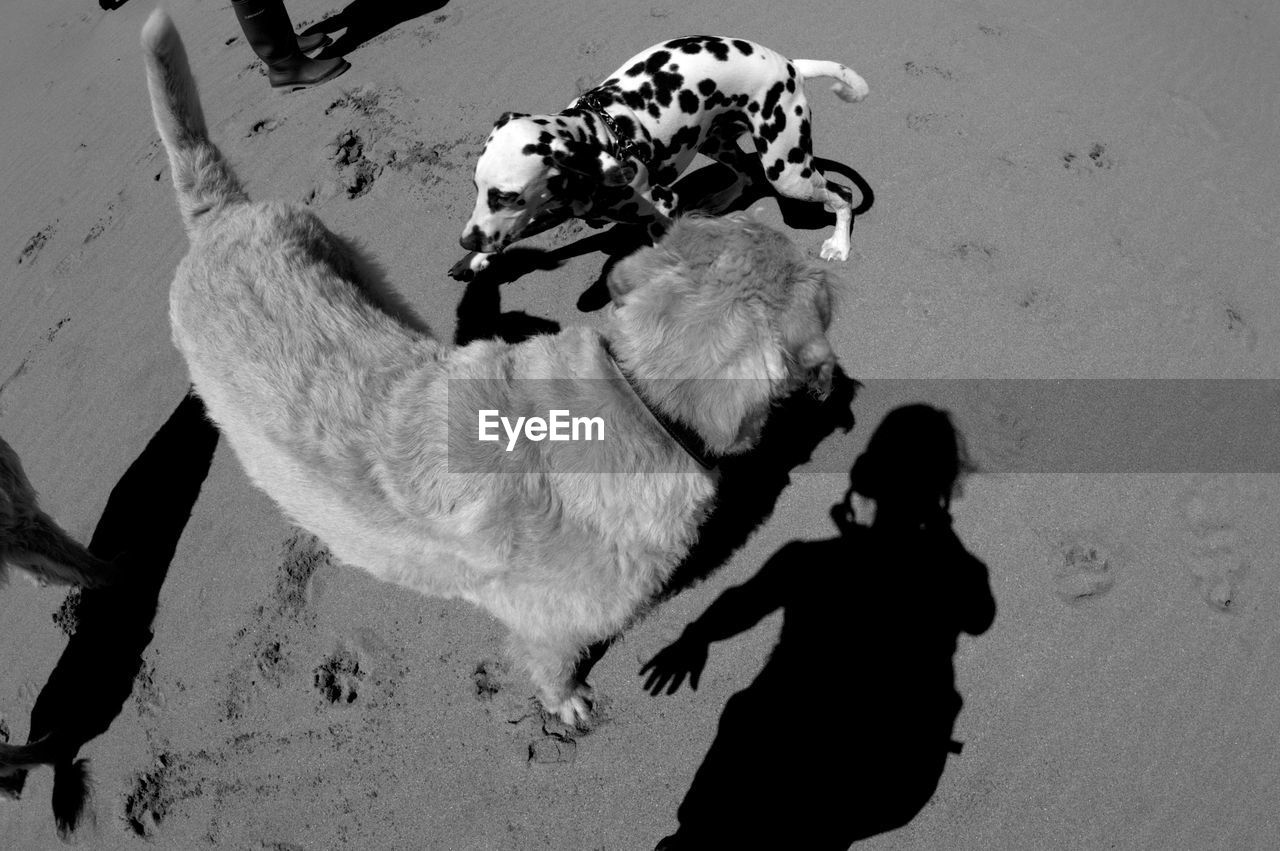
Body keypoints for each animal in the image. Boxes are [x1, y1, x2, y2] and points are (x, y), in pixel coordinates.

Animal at [453, 34, 870, 278]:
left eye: (507, 196)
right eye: (476, 188)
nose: (466, 241)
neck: (601, 134)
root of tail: (790, 64)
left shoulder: (661, 208)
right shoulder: (554, 208)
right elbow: (515, 231)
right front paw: (474, 261)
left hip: (789, 174)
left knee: (842, 195)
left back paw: (839, 245)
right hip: (714, 143)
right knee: (747, 173)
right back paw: (720, 199)